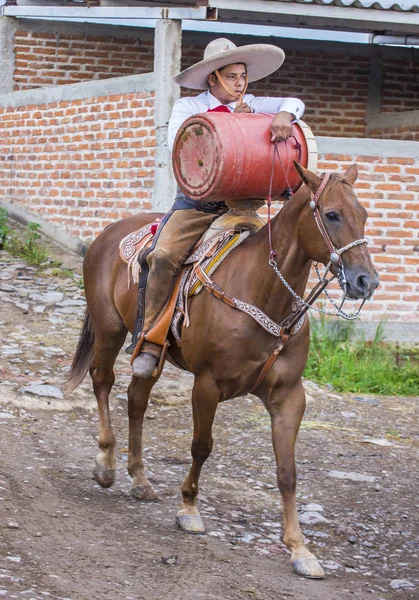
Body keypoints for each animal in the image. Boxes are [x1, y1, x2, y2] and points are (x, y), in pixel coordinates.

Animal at [67, 163, 378, 576]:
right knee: (103, 381)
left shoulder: (289, 396)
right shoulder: (207, 384)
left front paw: (300, 549)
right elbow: (201, 447)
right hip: (108, 328)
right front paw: (189, 508)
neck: (263, 292)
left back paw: (140, 478)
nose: (366, 281)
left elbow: (287, 471)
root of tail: (107, 233)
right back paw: (105, 464)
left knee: (136, 399)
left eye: (363, 215)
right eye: (331, 215)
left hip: (151, 355)